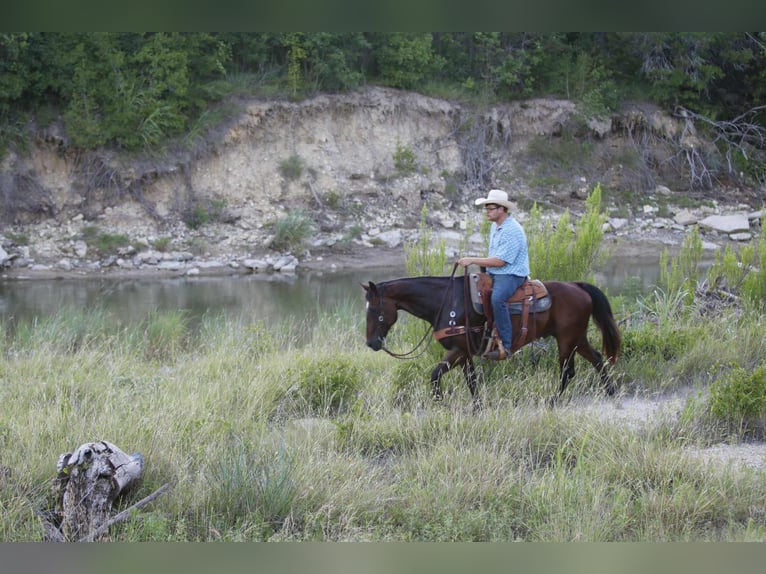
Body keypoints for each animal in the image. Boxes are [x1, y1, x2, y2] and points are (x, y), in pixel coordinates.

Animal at [362, 271, 621, 407]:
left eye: (374, 309)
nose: (371, 343)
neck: (447, 301)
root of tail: (578, 287)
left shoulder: (460, 349)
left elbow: (440, 374)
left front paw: (441, 403)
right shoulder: (464, 352)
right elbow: (468, 379)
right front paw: (474, 406)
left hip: (567, 339)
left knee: (568, 371)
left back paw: (552, 401)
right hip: (577, 338)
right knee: (597, 359)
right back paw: (610, 392)